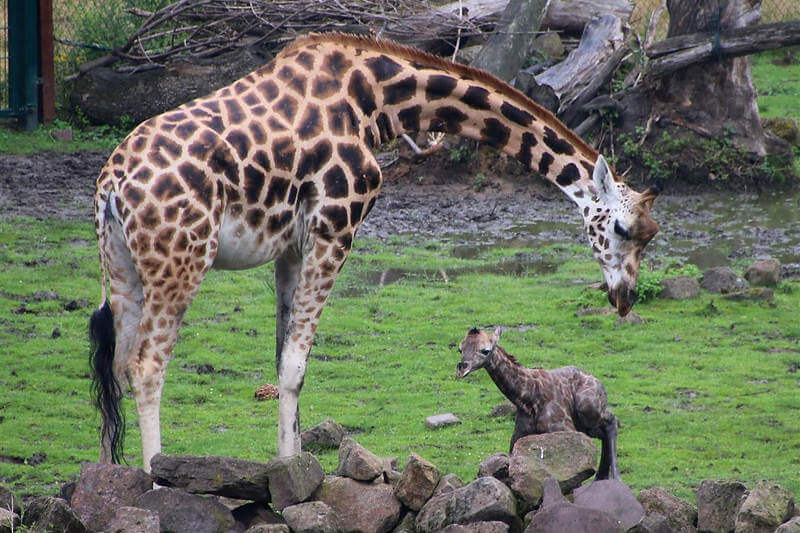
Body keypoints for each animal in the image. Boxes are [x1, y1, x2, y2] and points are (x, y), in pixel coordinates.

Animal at [456, 326, 620, 480]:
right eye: (460, 348)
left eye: (486, 350)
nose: (461, 369)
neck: (529, 398)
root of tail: (599, 383)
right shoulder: (518, 438)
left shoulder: (565, 430)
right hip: (586, 426)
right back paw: (601, 477)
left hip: (588, 410)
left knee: (612, 421)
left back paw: (614, 477)